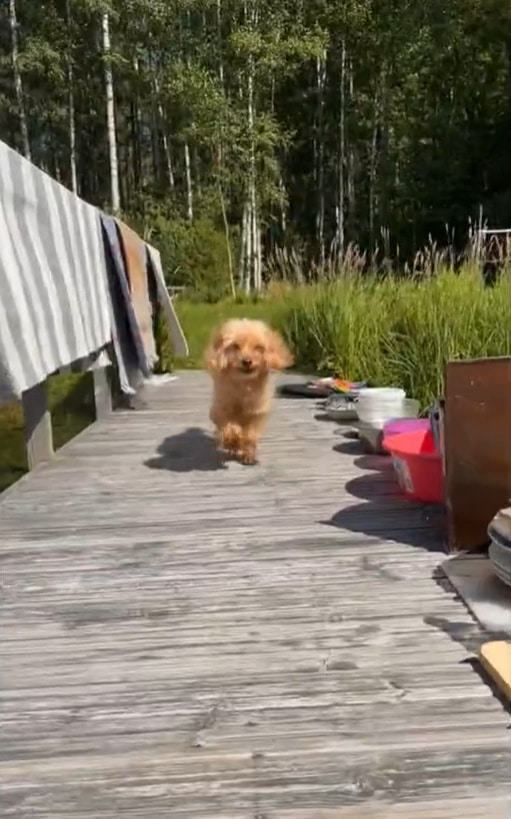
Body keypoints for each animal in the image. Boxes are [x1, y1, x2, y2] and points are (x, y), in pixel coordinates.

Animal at [204, 318, 292, 464]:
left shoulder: (256, 412)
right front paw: (232, 440)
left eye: (258, 347)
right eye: (235, 346)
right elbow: (229, 426)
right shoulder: (221, 408)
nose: (247, 361)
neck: (243, 385)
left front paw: (248, 454)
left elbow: (250, 435)